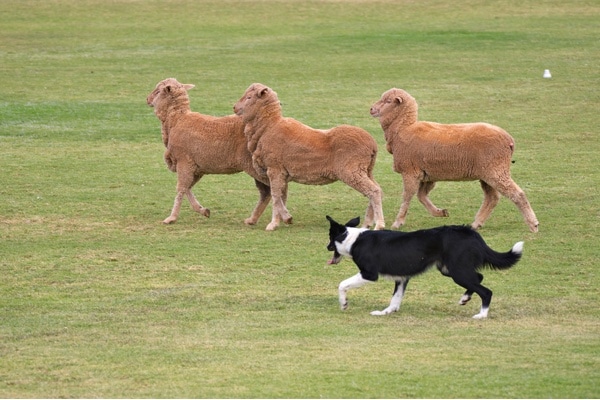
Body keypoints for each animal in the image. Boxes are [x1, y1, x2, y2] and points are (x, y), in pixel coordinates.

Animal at [148, 77, 272, 225]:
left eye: (158, 91)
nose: (147, 99)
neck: (177, 119)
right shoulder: (197, 167)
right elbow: (187, 187)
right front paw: (203, 210)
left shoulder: (184, 161)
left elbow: (181, 188)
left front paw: (171, 217)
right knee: (267, 191)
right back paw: (254, 219)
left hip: (255, 166)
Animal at [234, 83, 384, 231]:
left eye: (249, 97)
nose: (234, 107)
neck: (268, 127)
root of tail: (372, 144)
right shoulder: (280, 173)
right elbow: (280, 196)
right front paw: (285, 218)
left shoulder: (274, 168)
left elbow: (276, 196)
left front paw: (273, 224)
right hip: (365, 170)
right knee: (376, 189)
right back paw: (367, 223)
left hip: (352, 170)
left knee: (374, 191)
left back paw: (379, 224)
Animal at [326, 216, 524, 318]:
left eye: (330, 238)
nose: (326, 247)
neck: (352, 238)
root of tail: (470, 232)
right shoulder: (402, 278)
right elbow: (395, 298)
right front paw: (386, 312)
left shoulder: (369, 273)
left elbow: (342, 284)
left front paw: (344, 304)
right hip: (449, 269)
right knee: (479, 278)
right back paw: (465, 298)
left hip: (457, 272)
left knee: (486, 291)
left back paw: (481, 315)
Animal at [370, 86, 540, 231]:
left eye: (388, 101)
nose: (371, 109)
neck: (402, 129)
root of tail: (509, 140)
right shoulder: (428, 175)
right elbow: (421, 196)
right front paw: (440, 212)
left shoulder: (410, 172)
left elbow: (407, 197)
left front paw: (398, 222)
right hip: (487, 173)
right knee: (492, 198)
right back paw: (476, 223)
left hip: (495, 170)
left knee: (517, 194)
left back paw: (533, 225)